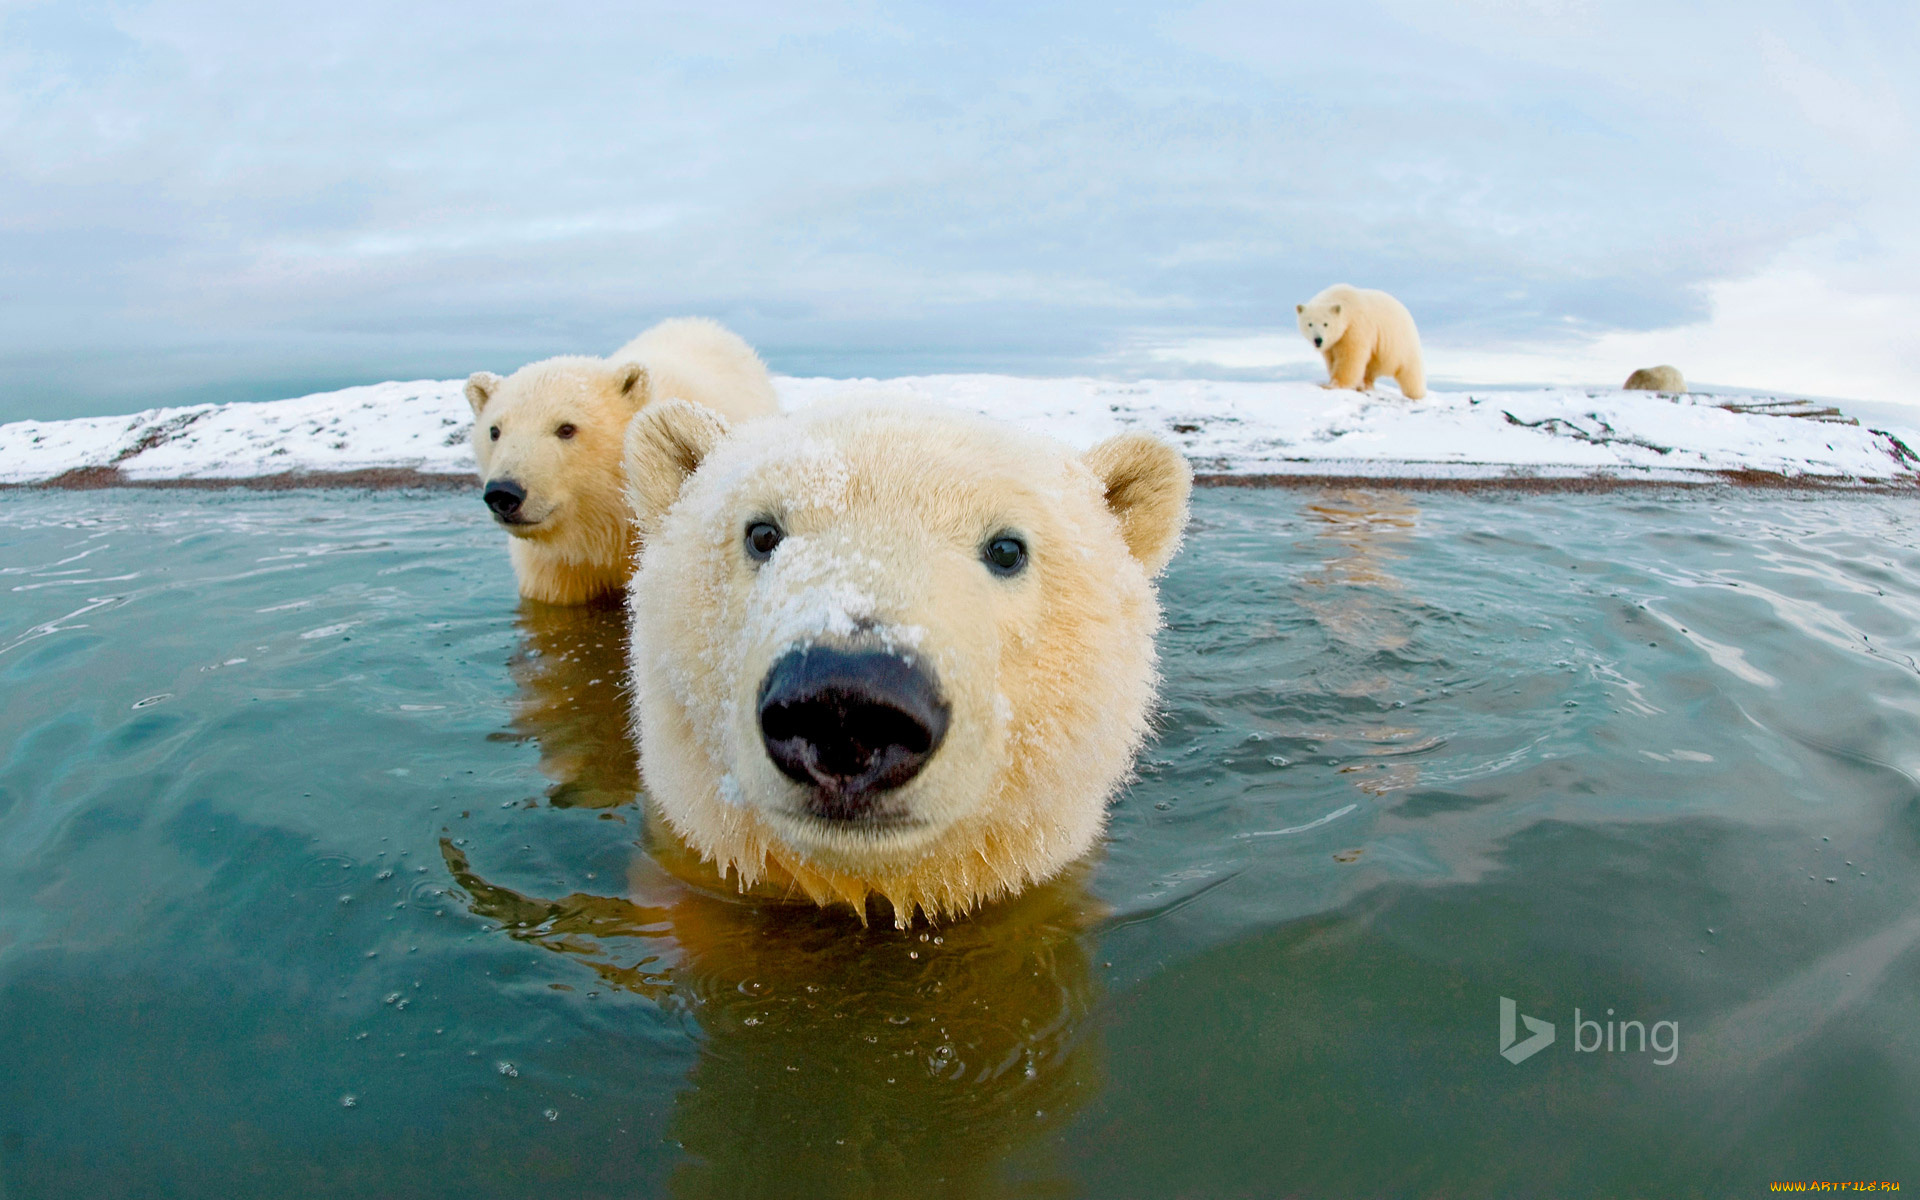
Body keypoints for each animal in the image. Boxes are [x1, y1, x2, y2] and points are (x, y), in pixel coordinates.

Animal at [1297, 282, 1436, 399]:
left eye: (1326, 324)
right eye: (1309, 324)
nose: (1318, 340)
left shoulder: (1355, 328)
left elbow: (1350, 357)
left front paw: (1332, 385)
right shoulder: (1333, 343)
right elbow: (1332, 359)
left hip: (1402, 344)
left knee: (1410, 372)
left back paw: (1416, 394)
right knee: (1370, 369)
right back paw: (1365, 385)